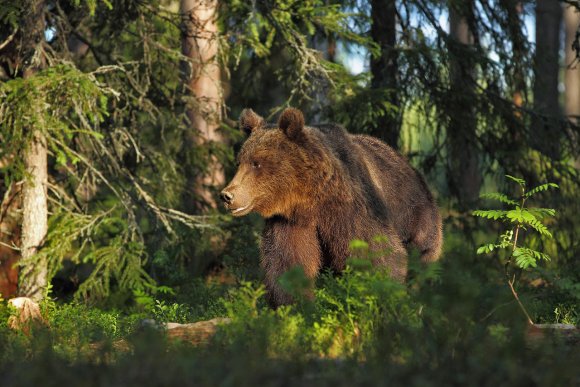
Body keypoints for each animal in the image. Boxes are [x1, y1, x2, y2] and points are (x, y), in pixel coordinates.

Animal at [220, 108, 442, 306]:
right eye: (240, 162)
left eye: (256, 163)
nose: (227, 195)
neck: (310, 199)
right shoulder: (290, 222)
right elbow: (288, 263)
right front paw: (296, 305)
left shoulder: (351, 207)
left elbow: (376, 251)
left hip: (416, 215)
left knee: (421, 257)